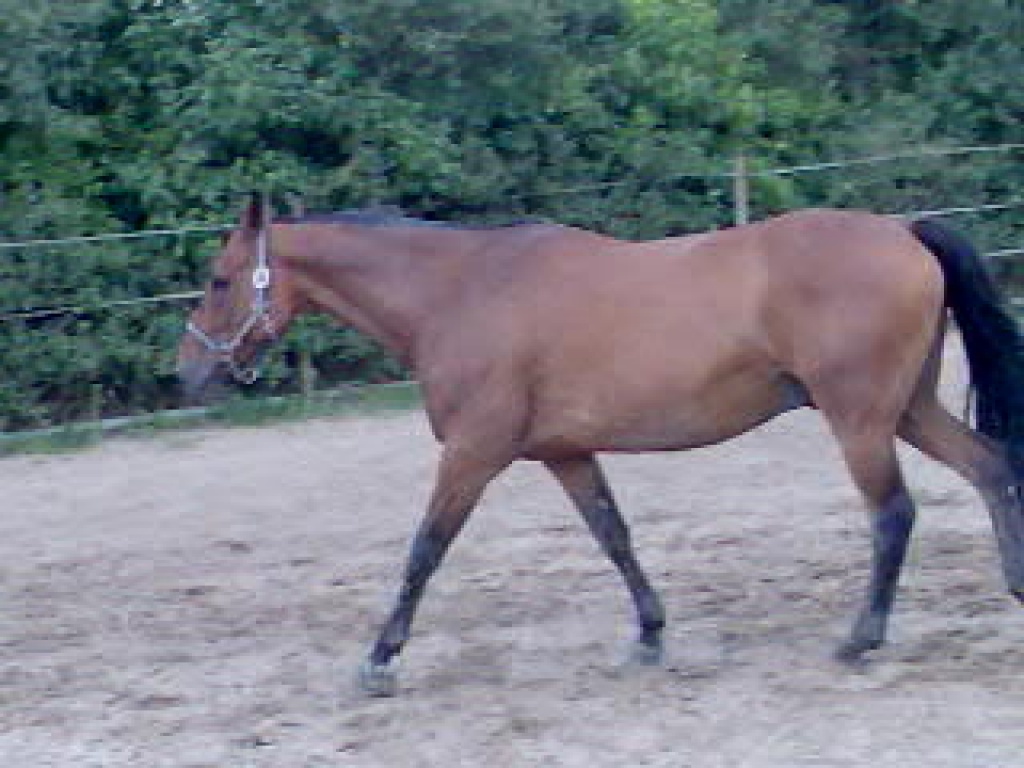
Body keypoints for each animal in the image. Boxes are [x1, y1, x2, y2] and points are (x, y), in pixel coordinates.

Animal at [177, 196, 1024, 696]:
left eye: (219, 280)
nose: (187, 371)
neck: (459, 292)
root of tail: (902, 230)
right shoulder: (565, 453)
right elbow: (614, 537)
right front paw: (649, 636)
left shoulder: (473, 455)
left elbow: (425, 550)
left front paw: (380, 657)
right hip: (906, 410)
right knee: (992, 468)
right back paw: (1013, 587)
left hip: (860, 420)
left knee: (894, 515)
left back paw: (859, 640)